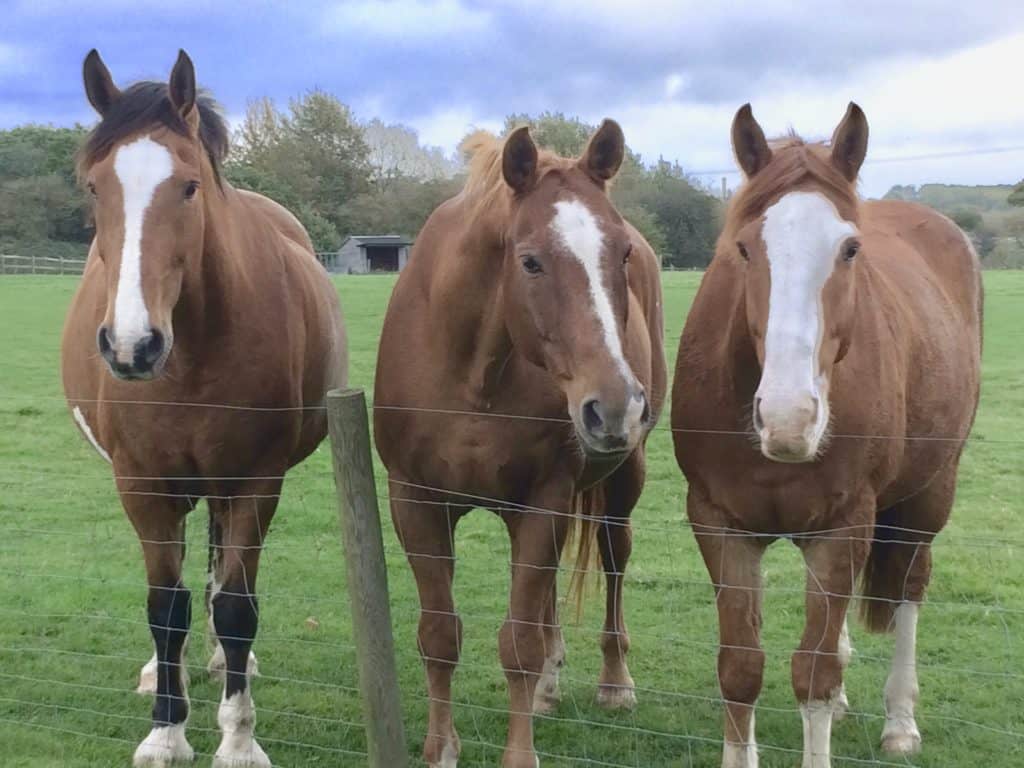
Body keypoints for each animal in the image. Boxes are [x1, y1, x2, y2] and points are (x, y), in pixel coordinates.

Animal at [62, 50, 346, 767]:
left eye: (189, 186)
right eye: (94, 188)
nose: (132, 345)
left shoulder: (254, 482)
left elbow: (237, 608)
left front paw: (238, 738)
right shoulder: (141, 484)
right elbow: (166, 607)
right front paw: (166, 731)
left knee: (221, 584)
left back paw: (221, 664)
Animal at [374, 122, 666, 767]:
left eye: (622, 255)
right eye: (529, 261)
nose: (615, 407)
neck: (471, 374)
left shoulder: (543, 502)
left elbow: (519, 644)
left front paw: (519, 753)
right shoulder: (416, 504)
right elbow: (440, 635)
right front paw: (440, 748)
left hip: (622, 480)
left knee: (613, 560)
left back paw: (614, 682)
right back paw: (550, 689)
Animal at [671, 102, 982, 768]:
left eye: (850, 249)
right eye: (743, 247)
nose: (788, 417)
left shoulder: (844, 528)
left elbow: (811, 673)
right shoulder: (719, 525)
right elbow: (741, 668)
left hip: (928, 498)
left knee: (910, 588)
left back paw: (900, 721)